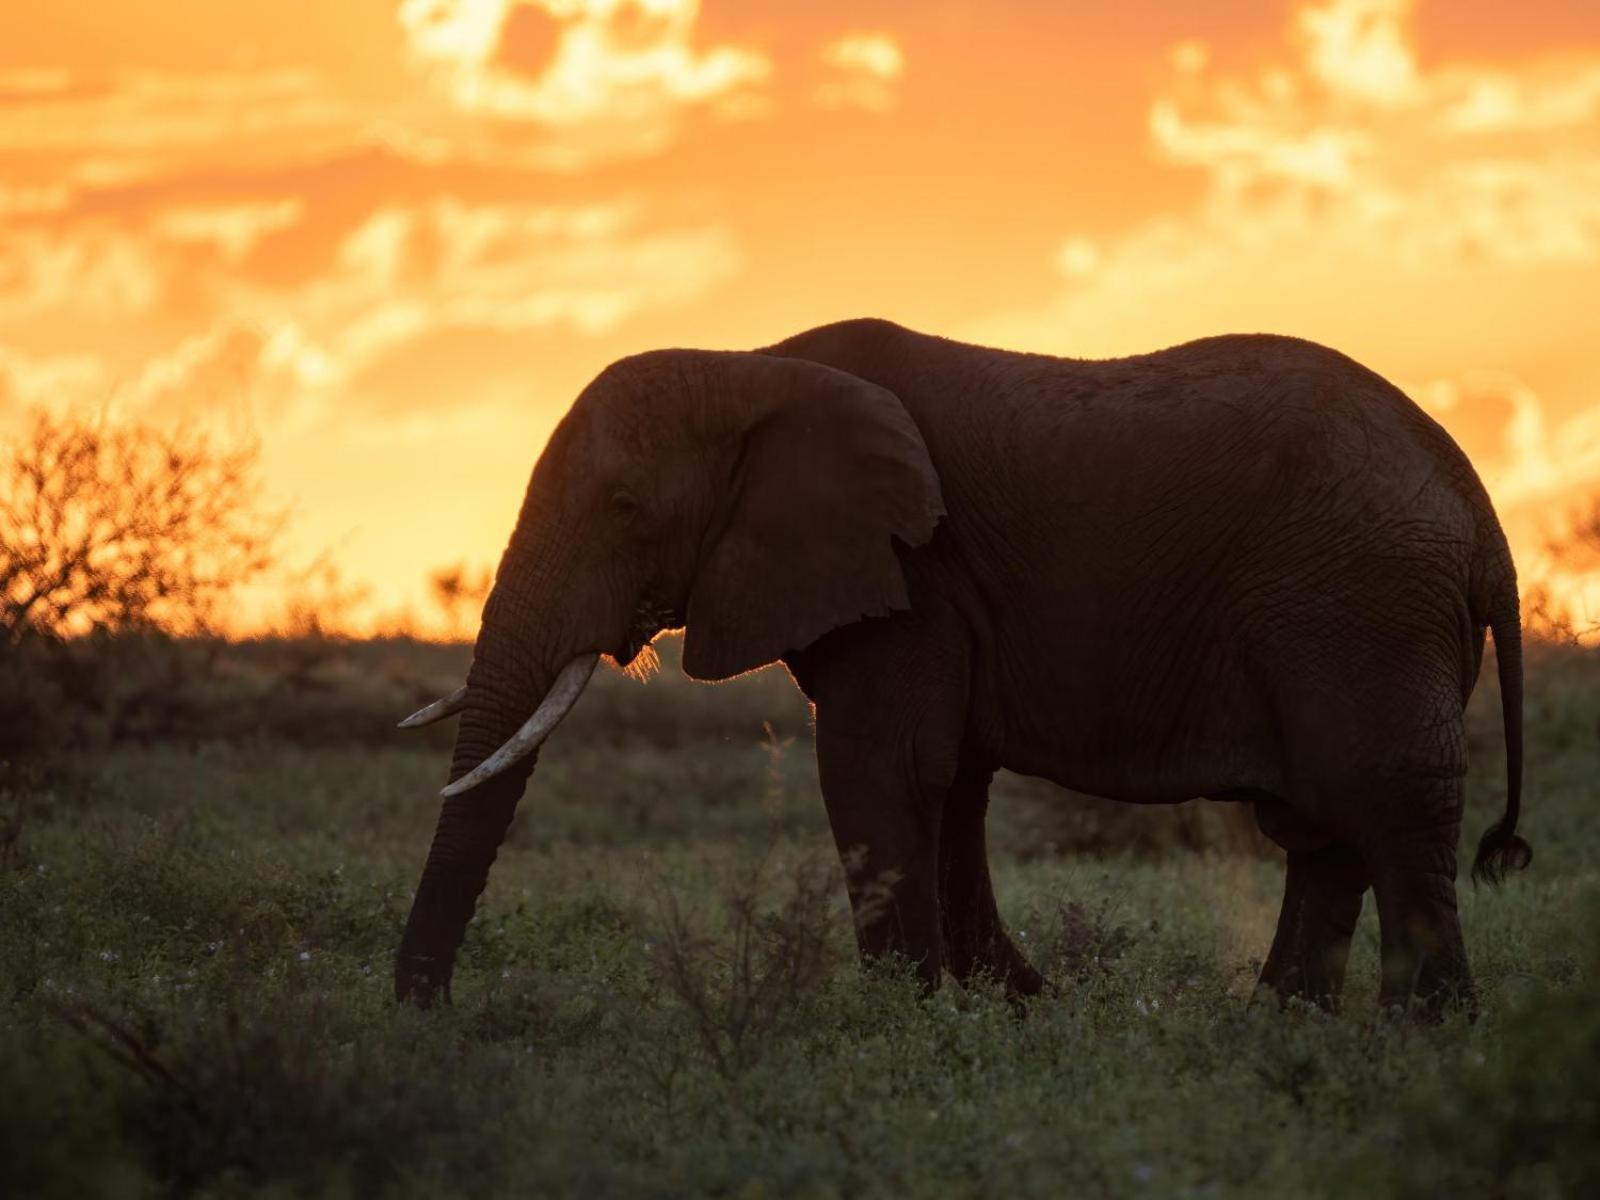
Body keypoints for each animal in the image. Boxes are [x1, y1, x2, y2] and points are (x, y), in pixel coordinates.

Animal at [393, 316, 1529, 1017]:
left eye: (626, 510)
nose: (426, 1013)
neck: (755, 363)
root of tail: (1478, 507)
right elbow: (951, 784)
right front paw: (1008, 1006)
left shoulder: (914, 571)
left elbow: (882, 766)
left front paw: (909, 1020)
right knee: (1326, 829)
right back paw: (1278, 1028)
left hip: (1360, 611)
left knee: (1387, 810)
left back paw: (1418, 1039)